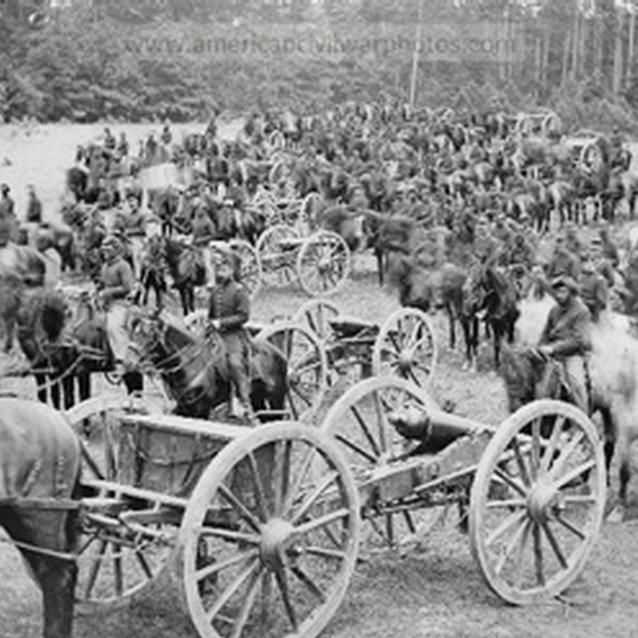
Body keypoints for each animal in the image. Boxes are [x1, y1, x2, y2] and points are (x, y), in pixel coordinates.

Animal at [129, 312, 288, 422]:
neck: (191, 364)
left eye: (150, 336)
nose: (129, 361)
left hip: (276, 400)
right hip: (258, 399)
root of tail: (280, 355)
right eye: (134, 334)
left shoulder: (201, 410)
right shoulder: (184, 409)